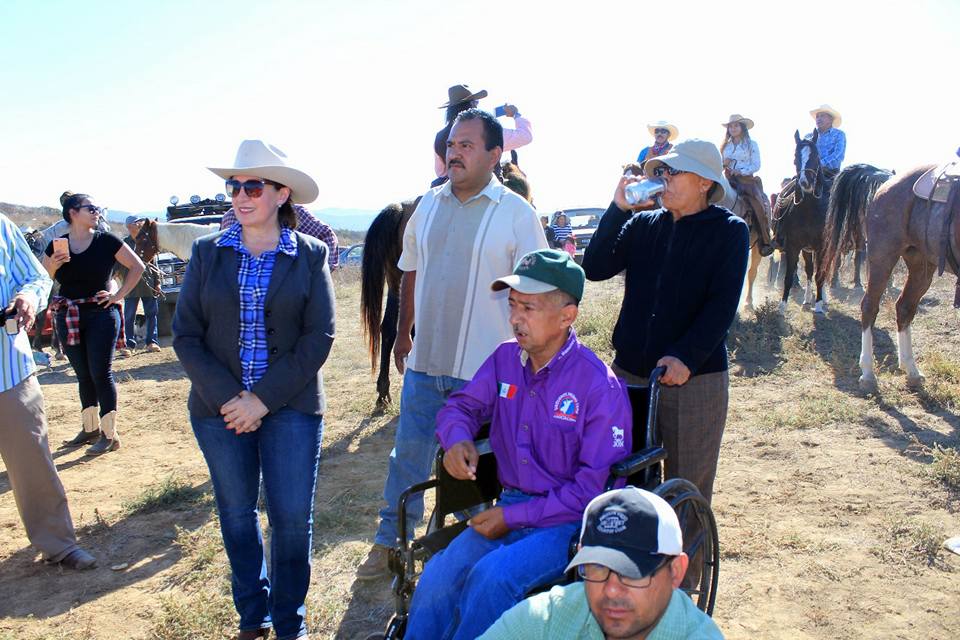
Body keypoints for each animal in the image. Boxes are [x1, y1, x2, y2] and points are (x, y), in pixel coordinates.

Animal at [773, 130, 830, 314]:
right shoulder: (793, 246)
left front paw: (818, 305)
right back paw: (806, 300)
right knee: (810, 270)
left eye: (816, 156)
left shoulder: (821, 247)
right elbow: (789, 276)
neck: (809, 212)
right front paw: (782, 306)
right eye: (795, 156)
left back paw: (823, 299)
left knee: (822, 271)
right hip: (806, 249)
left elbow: (820, 275)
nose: (805, 183)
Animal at [820, 162, 960, 391]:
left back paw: (911, 369)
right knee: (869, 306)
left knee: (904, 307)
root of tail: (888, 180)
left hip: (921, 264)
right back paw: (868, 373)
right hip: (882, 256)